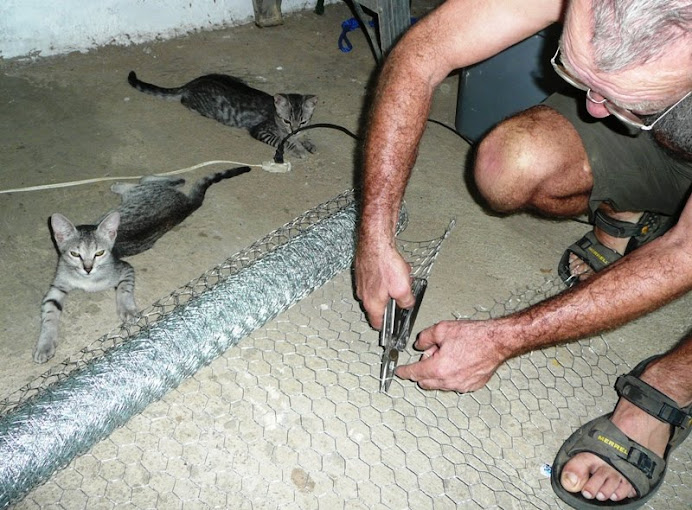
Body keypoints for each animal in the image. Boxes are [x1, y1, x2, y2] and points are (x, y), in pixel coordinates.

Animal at [34, 167, 251, 362]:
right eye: (74, 254)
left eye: (99, 253)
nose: (88, 268)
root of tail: (187, 204)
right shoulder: (57, 285)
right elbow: (50, 313)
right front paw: (45, 344)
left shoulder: (125, 268)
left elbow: (124, 289)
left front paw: (127, 309)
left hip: (140, 192)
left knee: (149, 179)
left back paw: (125, 184)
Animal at [127, 70, 318, 157]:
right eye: (287, 121)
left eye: (302, 122)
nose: (294, 130)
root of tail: (193, 83)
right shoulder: (260, 130)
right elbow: (282, 141)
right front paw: (298, 149)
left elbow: (303, 136)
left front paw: (308, 143)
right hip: (203, 106)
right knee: (184, 101)